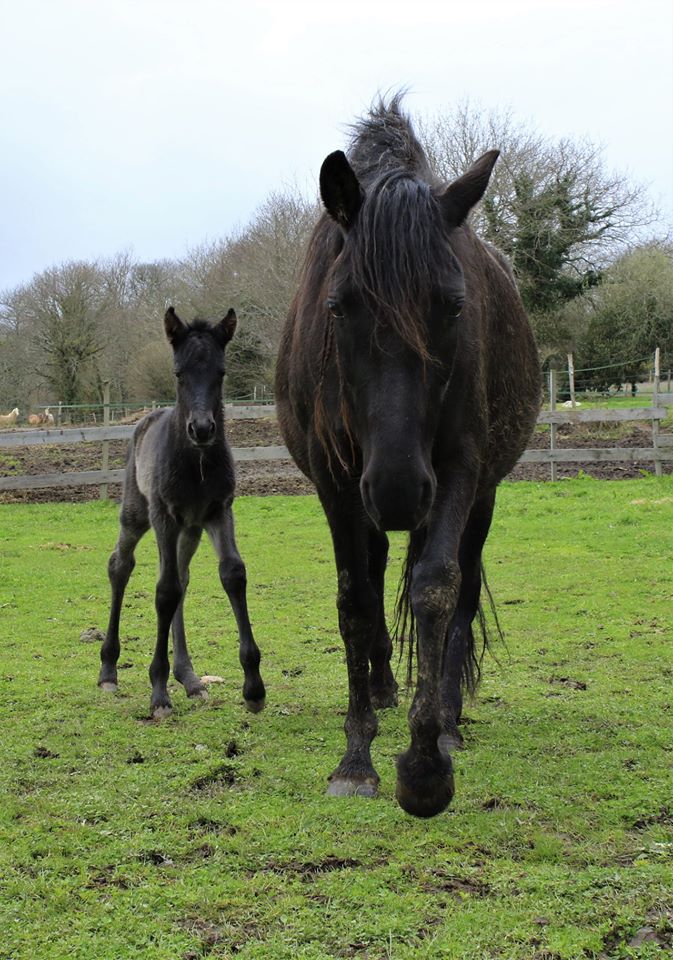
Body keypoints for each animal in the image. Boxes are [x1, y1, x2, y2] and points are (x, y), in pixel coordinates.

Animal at [99, 308, 266, 720]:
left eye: (221, 372)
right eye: (178, 373)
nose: (202, 428)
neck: (196, 463)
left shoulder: (219, 511)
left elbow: (232, 574)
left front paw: (254, 688)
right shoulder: (164, 516)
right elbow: (164, 590)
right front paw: (158, 693)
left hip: (190, 529)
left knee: (183, 578)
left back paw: (189, 678)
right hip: (137, 514)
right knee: (121, 566)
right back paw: (108, 670)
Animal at [276, 95, 540, 816]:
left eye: (453, 306)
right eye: (339, 307)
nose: (397, 489)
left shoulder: (457, 471)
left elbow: (436, 590)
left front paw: (424, 765)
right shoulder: (338, 484)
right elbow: (356, 604)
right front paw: (355, 757)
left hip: (473, 498)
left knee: (462, 595)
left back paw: (445, 720)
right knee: (371, 580)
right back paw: (382, 688)